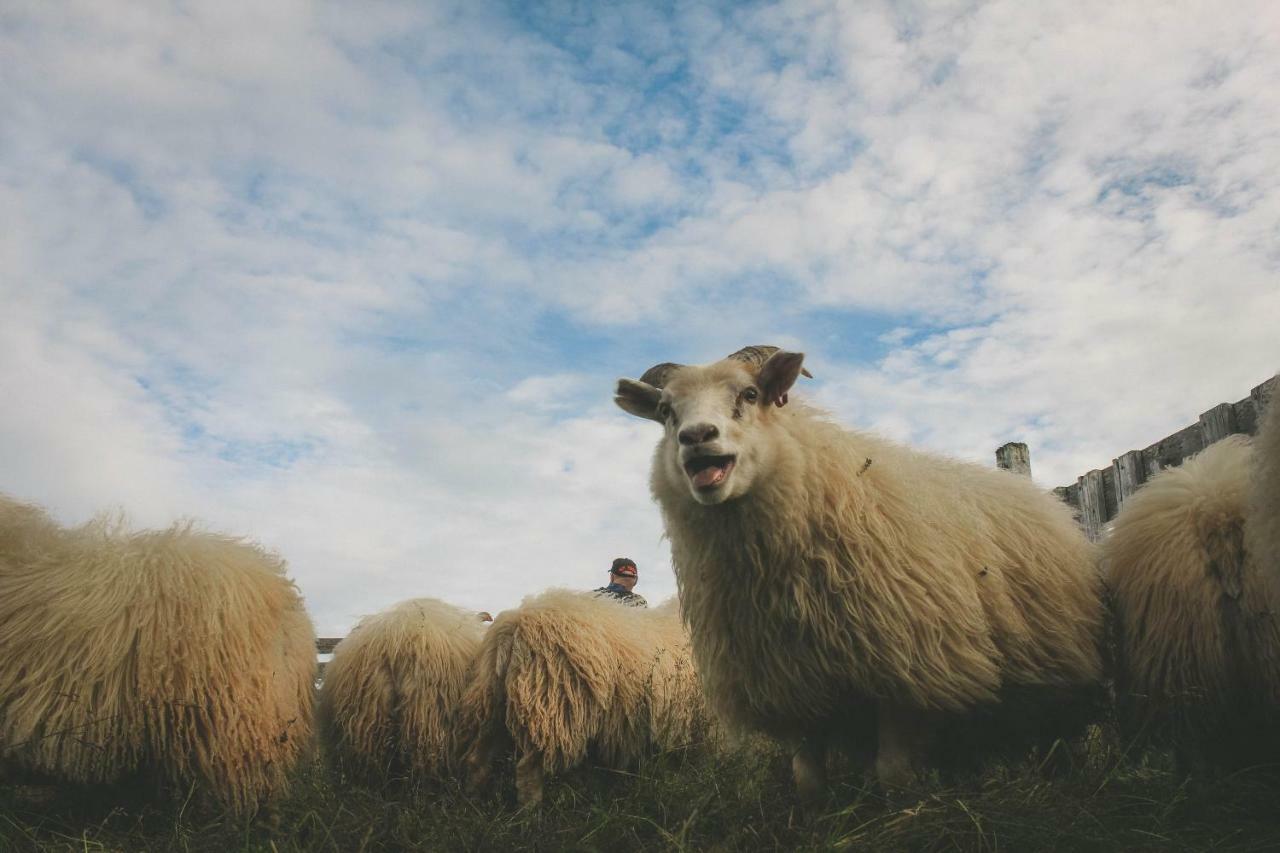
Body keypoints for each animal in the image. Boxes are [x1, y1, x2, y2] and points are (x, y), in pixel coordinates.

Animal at [453, 589, 711, 799]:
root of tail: (512, 628)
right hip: (551, 708)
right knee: (528, 773)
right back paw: (531, 818)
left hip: (494, 705)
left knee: (477, 760)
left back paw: (473, 802)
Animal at [614, 343, 1105, 788]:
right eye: (666, 410)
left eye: (750, 394)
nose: (696, 437)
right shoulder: (790, 684)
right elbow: (807, 779)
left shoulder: (905, 674)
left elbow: (892, 773)